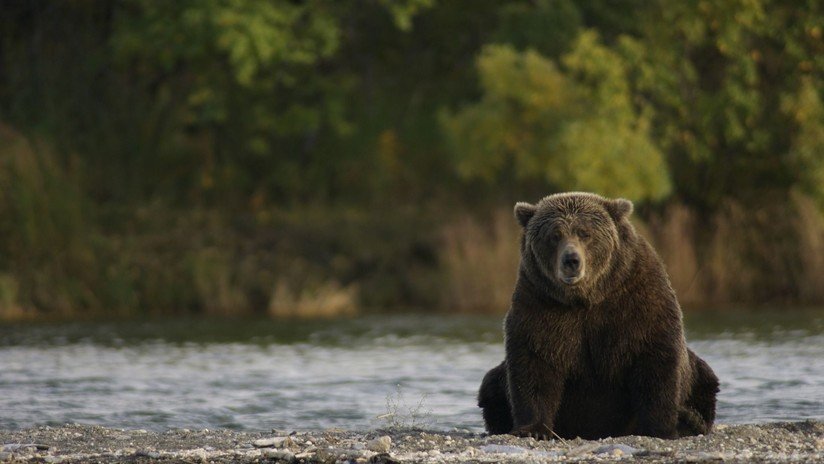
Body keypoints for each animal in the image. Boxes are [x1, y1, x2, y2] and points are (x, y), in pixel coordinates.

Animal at [480, 191, 716, 438]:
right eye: (554, 235)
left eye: (585, 233)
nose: (571, 260)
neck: (586, 298)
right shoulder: (540, 303)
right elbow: (535, 362)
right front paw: (533, 429)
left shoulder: (637, 298)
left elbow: (655, 359)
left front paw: (659, 428)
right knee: (491, 385)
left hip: (698, 375)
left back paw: (690, 420)